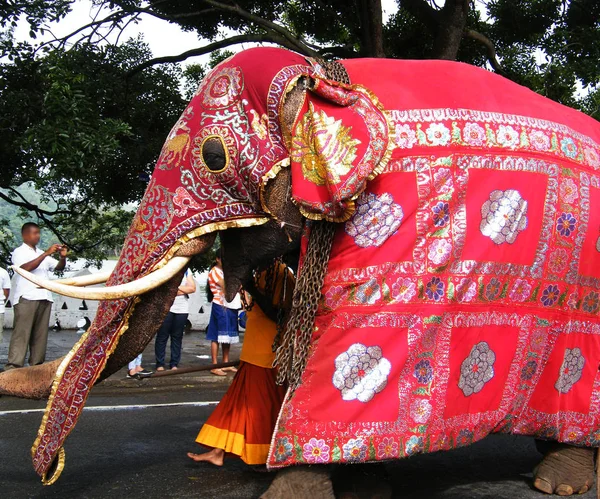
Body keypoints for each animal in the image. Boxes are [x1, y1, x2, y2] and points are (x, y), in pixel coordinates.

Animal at [1, 46, 600, 496]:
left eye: (214, 155)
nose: (46, 472)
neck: (320, 78)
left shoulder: (389, 227)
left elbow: (341, 350)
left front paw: (295, 486)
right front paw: (365, 486)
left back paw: (559, 481)